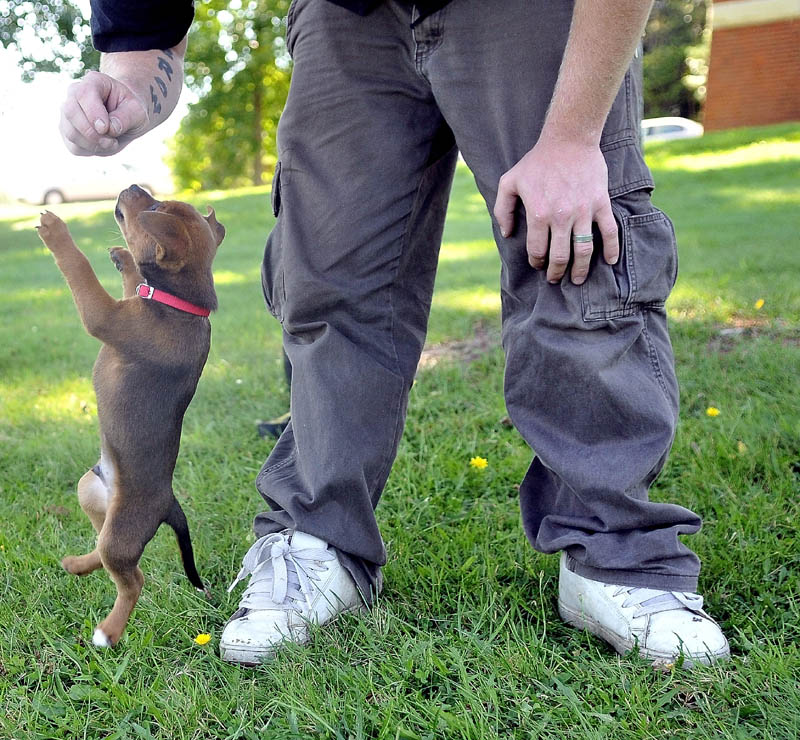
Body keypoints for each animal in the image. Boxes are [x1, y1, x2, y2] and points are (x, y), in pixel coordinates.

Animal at [36, 186, 225, 648]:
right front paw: (123, 257)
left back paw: (108, 632)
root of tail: (170, 502)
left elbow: (79, 268)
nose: (133, 187)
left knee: (133, 579)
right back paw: (77, 565)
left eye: (152, 208)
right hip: (91, 490)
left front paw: (56, 230)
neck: (183, 304)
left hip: (122, 533)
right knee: (106, 552)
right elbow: (134, 278)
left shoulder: (104, 314)